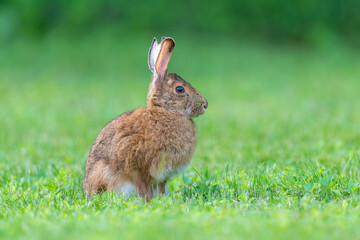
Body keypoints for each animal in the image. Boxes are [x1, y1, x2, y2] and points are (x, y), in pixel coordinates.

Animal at [82, 36, 207, 201]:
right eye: (180, 89)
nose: (205, 105)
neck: (166, 111)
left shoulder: (163, 175)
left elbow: (160, 187)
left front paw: (161, 199)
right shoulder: (138, 164)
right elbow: (143, 185)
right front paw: (149, 201)